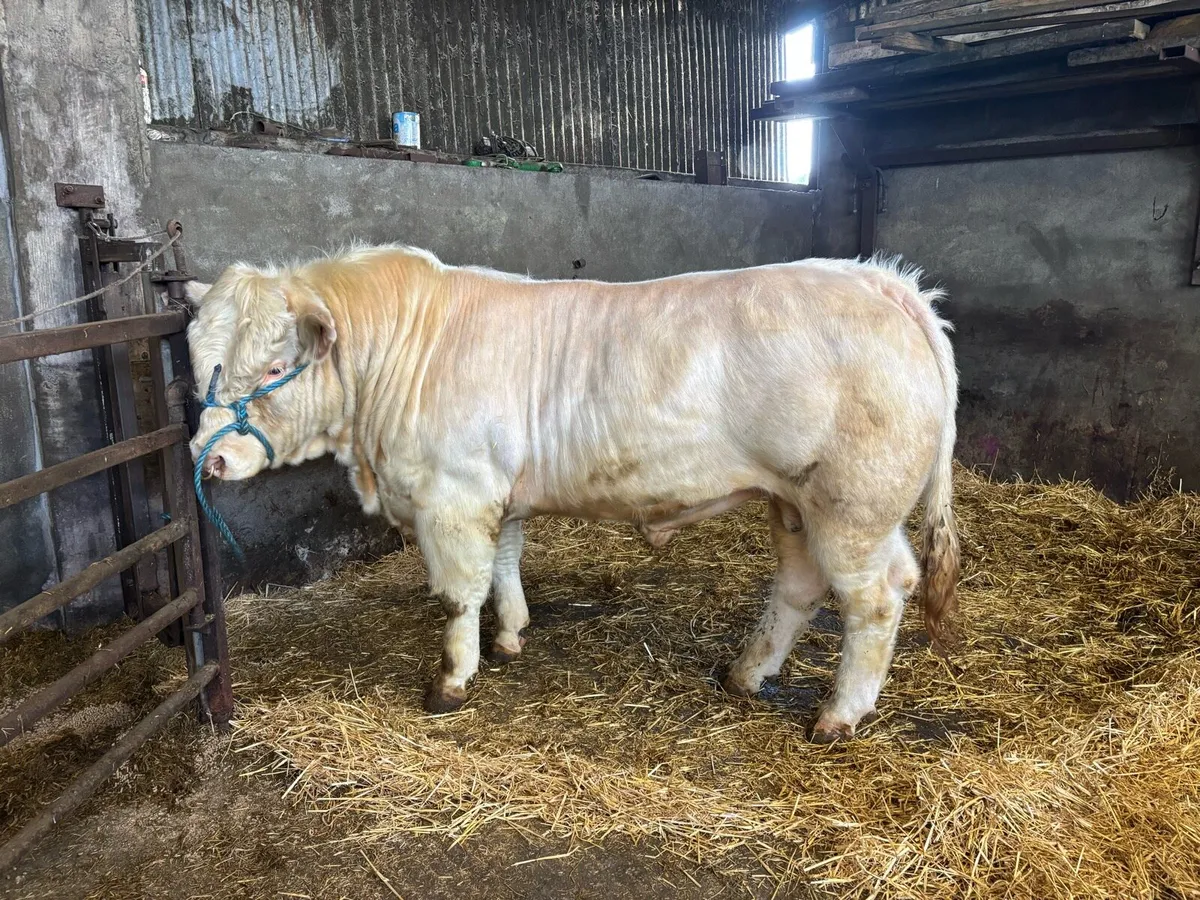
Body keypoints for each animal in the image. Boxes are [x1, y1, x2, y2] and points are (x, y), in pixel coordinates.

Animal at [185, 245, 959, 743]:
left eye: (275, 367)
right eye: (196, 366)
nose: (208, 458)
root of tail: (877, 281)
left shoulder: (453, 495)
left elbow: (458, 592)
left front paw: (453, 679)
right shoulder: (497, 493)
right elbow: (505, 564)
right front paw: (510, 636)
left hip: (852, 506)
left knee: (877, 595)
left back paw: (838, 715)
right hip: (795, 503)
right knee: (800, 587)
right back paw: (744, 673)